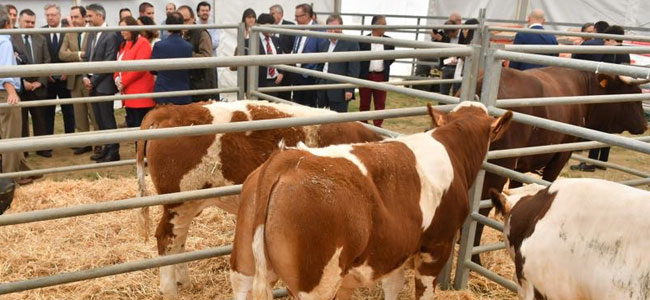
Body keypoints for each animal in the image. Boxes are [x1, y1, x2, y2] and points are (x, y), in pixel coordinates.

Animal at [134, 99, 382, 296]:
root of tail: (168, 110)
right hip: (180, 200)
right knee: (166, 238)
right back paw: (169, 290)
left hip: (190, 204)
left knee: (179, 240)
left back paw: (184, 282)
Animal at [228, 102, 512, 300]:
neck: (452, 149)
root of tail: (285, 160)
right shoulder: (436, 248)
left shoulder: (397, 251)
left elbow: (392, 286)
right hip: (316, 284)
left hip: (243, 267)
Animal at [470, 67, 648, 264]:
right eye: (633, 97)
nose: (645, 125)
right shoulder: (560, 157)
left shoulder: (521, 166)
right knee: (482, 209)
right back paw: (475, 258)